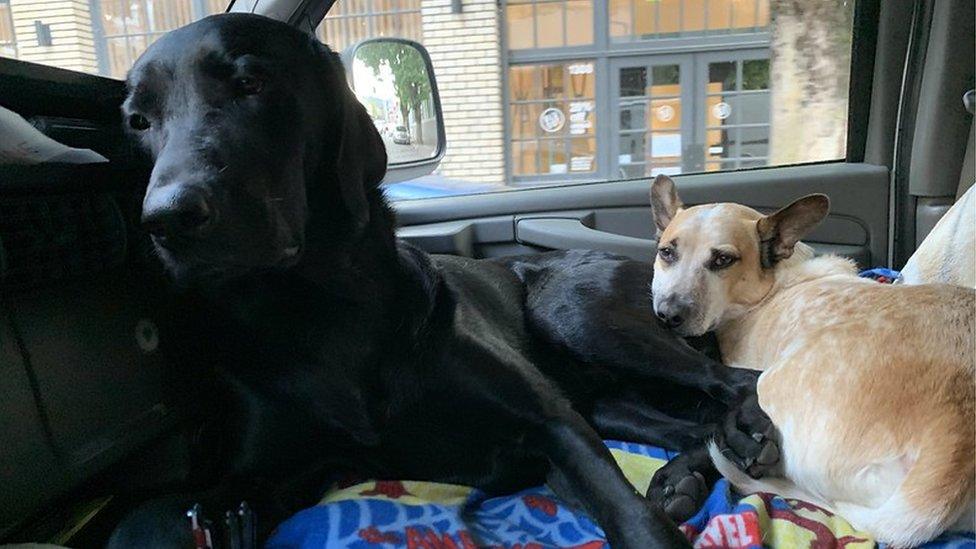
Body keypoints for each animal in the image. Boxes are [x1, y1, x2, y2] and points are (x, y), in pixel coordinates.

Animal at [116, 13, 764, 548]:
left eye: (251, 82)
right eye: (138, 121)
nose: (167, 218)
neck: (324, 312)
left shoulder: (552, 423)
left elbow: (631, 517)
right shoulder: (266, 471)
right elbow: (179, 513)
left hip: (578, 314)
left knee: (738, 382)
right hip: (607, 401)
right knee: (699, 422)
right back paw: (686, 475)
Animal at [648, 174, 976, 544]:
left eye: (722, 260)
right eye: (667, 253)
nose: (667, 315)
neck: (776, 282)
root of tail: (955, 445)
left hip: (771, 385)